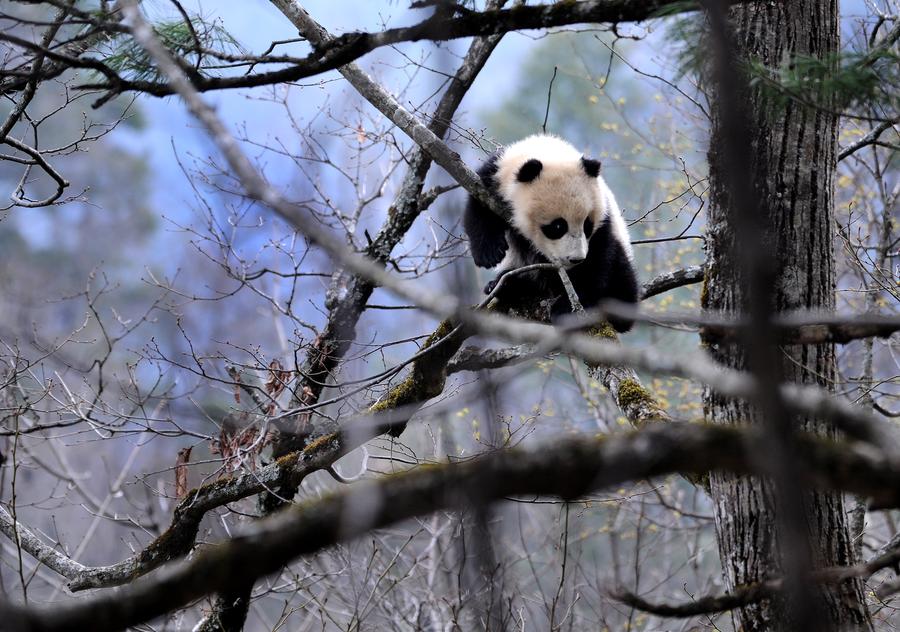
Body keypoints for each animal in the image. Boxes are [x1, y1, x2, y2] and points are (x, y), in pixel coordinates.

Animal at [464, 133, 640, 330]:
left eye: (587, 225)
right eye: (557, 227)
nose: (576, 259)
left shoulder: (604, 218)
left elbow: (596, 262)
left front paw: (566, 308)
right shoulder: (493, 175)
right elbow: (478, 207)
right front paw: (489, 253)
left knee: (622, 278)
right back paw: (505, 285)